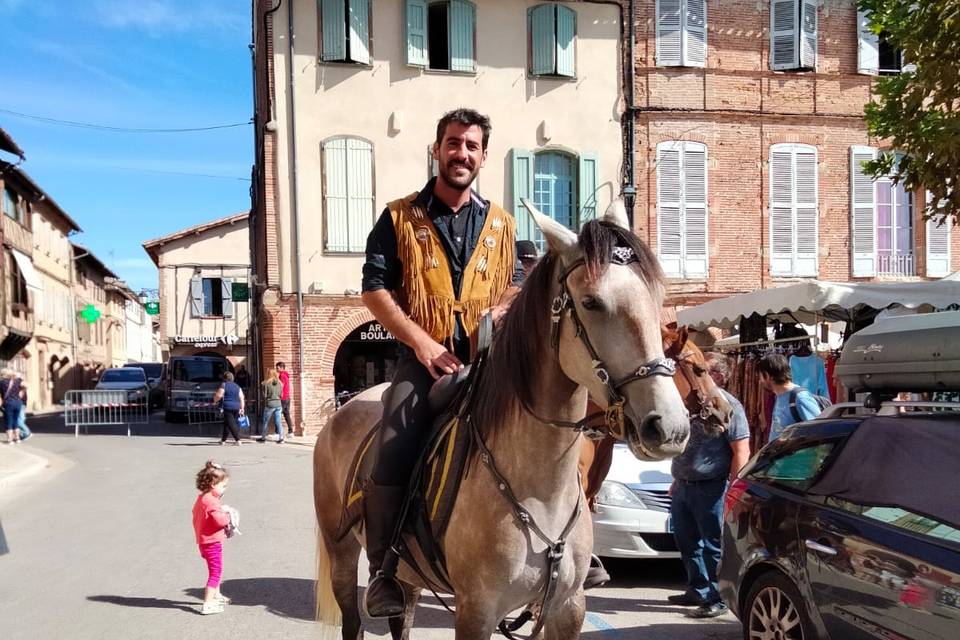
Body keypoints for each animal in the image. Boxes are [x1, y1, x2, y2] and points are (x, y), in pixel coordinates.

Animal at [314, 200, 688, 640]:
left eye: (658, 297)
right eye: (592, 302)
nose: (669, 426)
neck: (539, 491)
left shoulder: (566, 608)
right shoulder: (476, 611)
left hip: (408, 573)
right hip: (341, 552)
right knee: (354, 619)